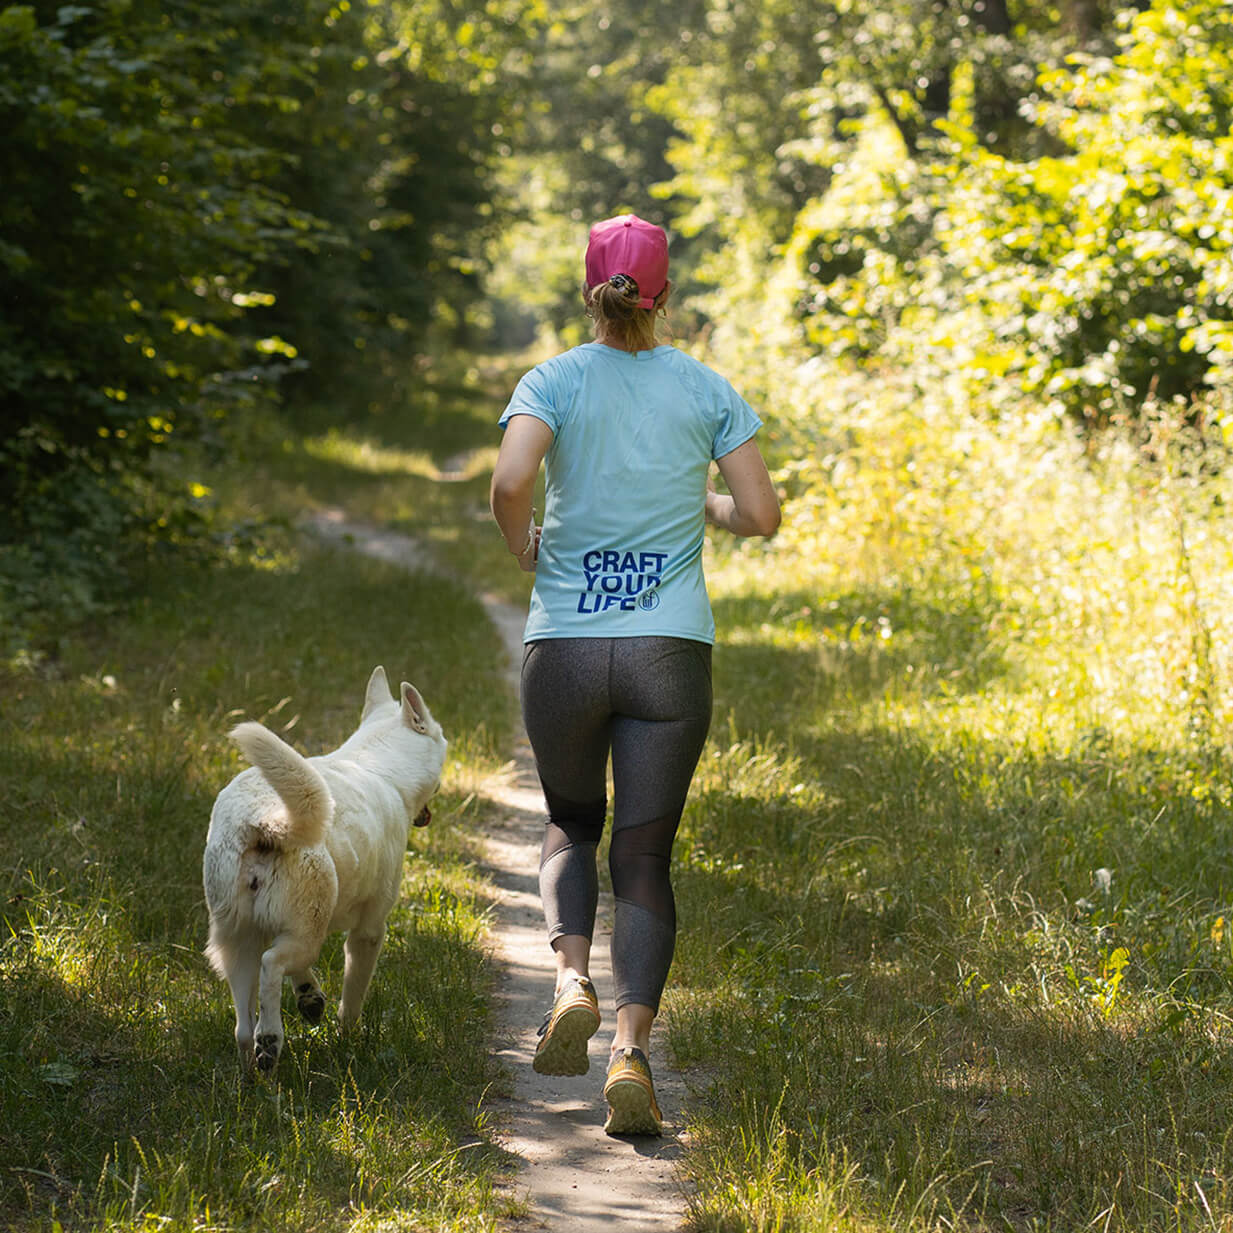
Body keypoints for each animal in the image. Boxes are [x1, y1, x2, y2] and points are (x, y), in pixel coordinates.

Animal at [203, 665, 448, 1070]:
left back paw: (253, 1064)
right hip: (305, 935)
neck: (376, 766)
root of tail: (263, 821)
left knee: (242, 1025)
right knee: (271, 967)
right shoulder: (368, 932)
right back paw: (270, 1041)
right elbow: (353, 997)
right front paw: (348, 1039)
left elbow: (303, 982)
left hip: (238, 941)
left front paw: (310, 997)